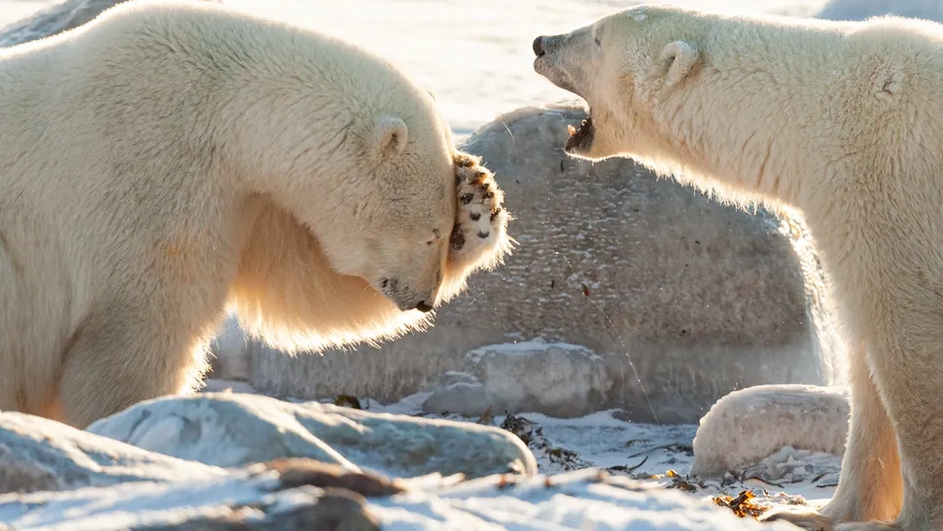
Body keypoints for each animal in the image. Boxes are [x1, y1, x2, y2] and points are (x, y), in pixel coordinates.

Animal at [0, 0, 512, 430]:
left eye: (443, 232)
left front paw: (477, 199)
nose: (424, 299)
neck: (220, 108)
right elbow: (139, 327)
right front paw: (131, 418)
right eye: (429, 234)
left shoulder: (246, 198)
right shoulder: (148, 176)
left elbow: (303, 282)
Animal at [536, 6, 943, 531]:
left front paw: (918, 518)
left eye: (597, 37)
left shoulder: (888, 189)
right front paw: (816, 513)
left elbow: (909, 348)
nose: (540, 43)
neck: (814, 110)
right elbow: (866, 361)